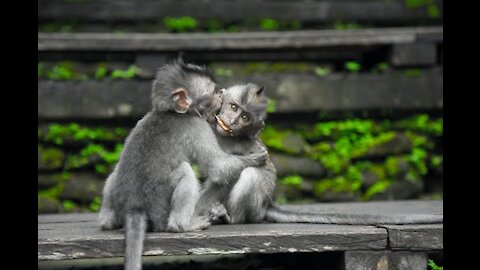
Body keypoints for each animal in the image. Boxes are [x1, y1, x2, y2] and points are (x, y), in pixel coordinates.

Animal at [98, 59, 268, 270]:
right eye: (213, 92)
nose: (221, 94)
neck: (170, 112)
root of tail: (134, 207)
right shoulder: (197, 126)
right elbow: (219, 168)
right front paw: (255, 157)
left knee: (114, 173)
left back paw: (107, 221)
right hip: (160, 208)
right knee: (185, 172)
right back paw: (183, 225)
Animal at [193, 83, 440, 226]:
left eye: (245, 118)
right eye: (233, 107)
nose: (232, 121)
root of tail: (267, 204)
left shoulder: (245, 145)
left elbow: (230, 173)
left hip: (254, 207)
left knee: (251, 174)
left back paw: (230, 218)